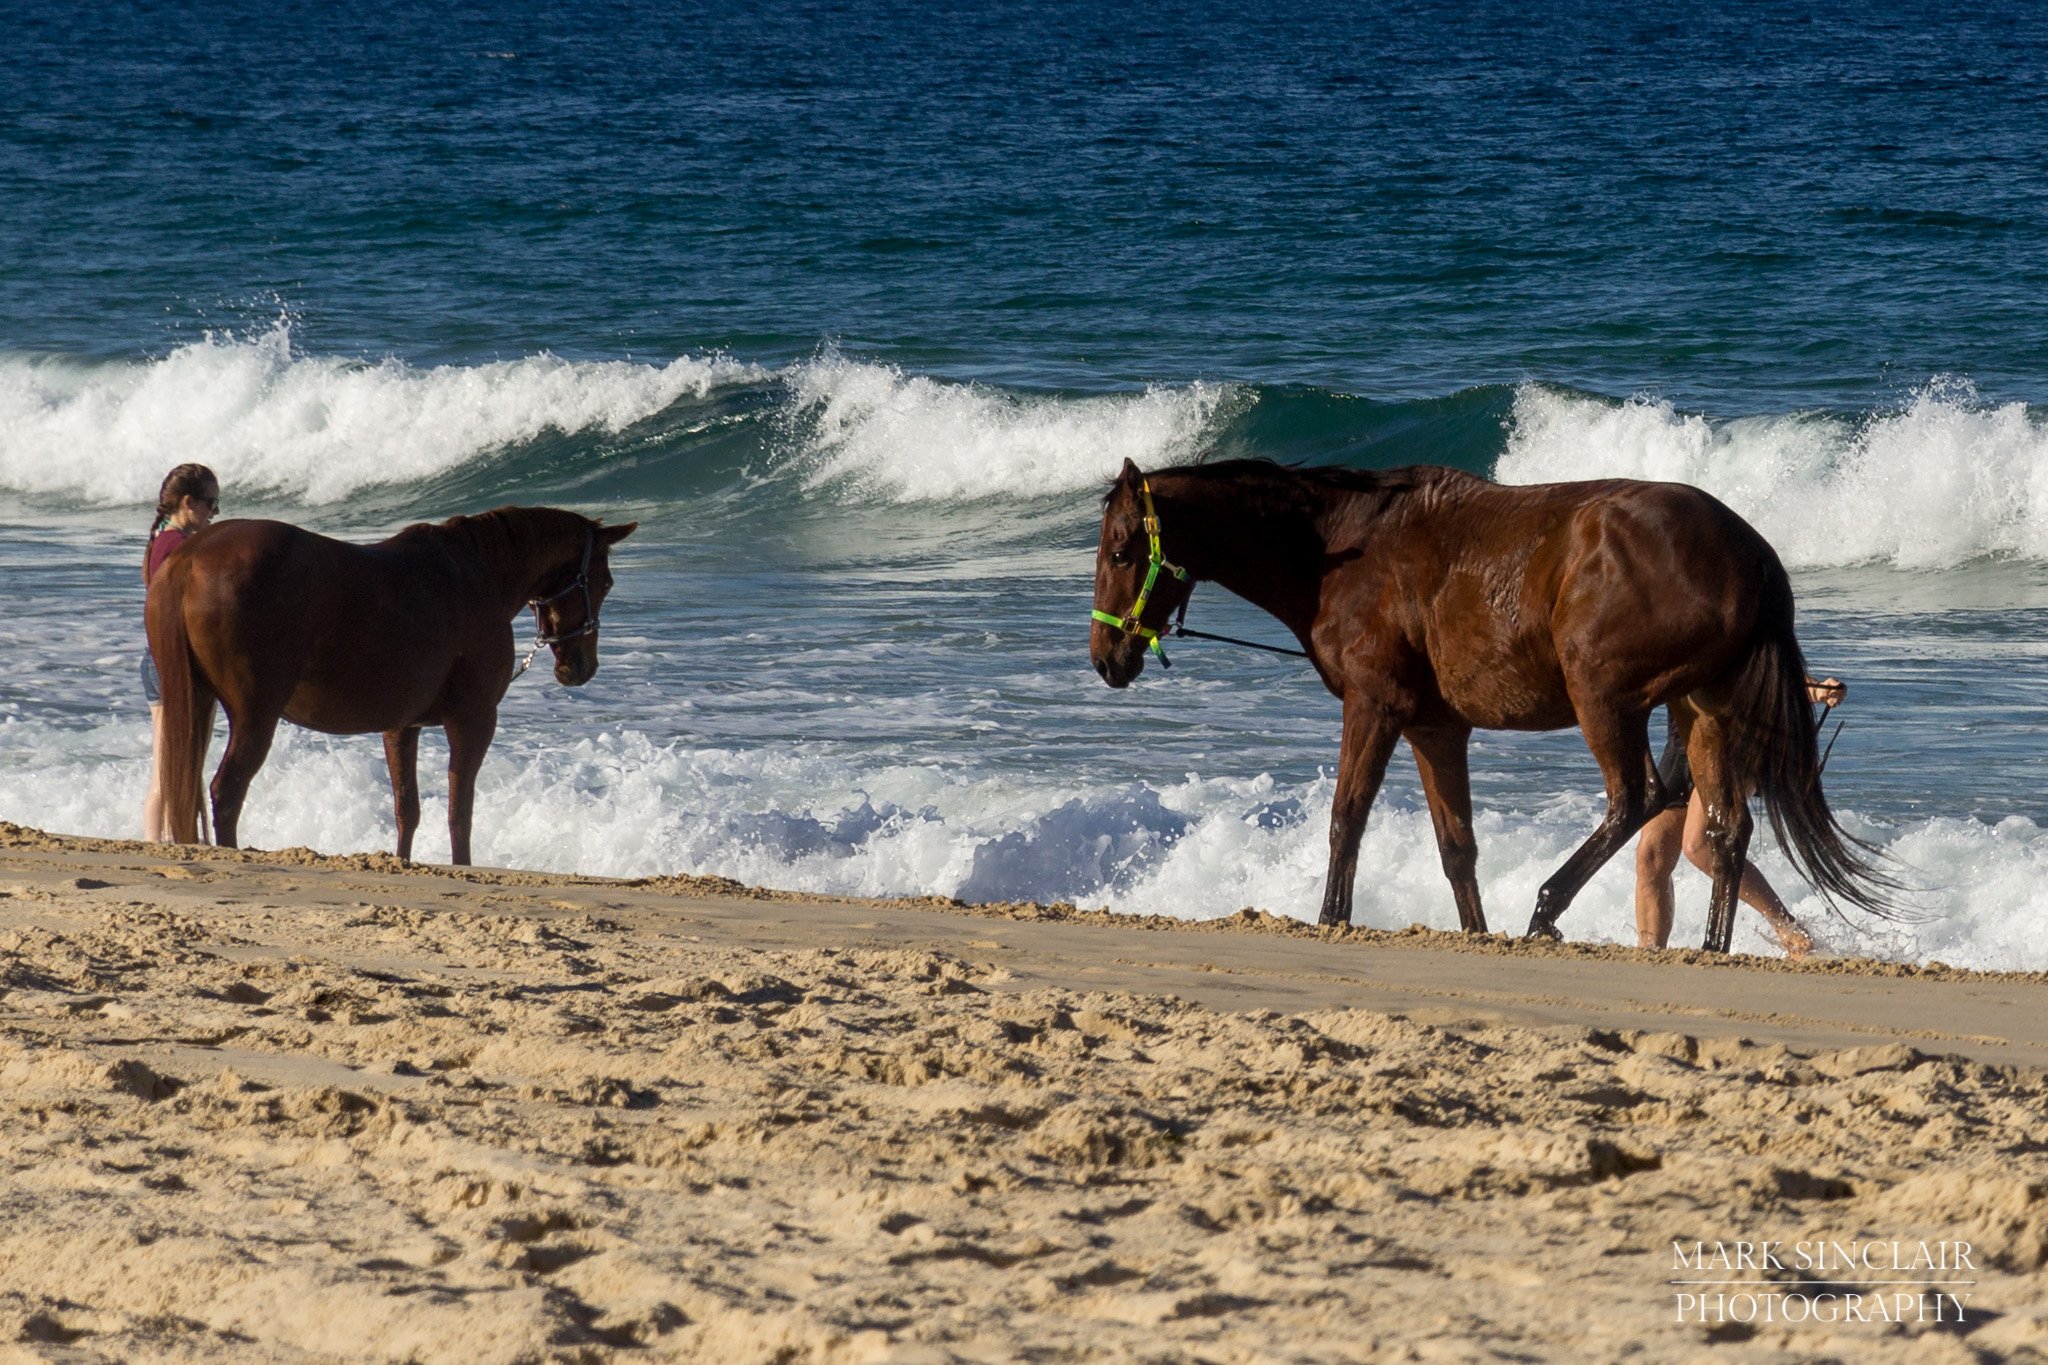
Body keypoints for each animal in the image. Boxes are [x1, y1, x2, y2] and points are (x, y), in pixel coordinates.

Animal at [146, 506, 636, 865]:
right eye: (606, 581)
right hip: (254, 716)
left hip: (198, 705)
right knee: (226, 793)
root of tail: (190, 556)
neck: (476, 575)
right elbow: (460, 812)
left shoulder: (402, 726)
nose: (580, 667)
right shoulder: (473, 721)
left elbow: (407, 809)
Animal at [1088, 457, 1891, 953]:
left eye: (1124, 550)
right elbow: (1457, 848)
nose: (1106, 660)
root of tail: (1752, 553)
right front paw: (1473, 932)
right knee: (1726, 830)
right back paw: (1709, 946)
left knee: (1636, 798)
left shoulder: (1374, 707)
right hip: (1706, 712)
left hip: (1606, 698)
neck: (1342, 552)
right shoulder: (1435, 728)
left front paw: (1330, 918)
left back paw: (1545, 909)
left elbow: (1347, 820)